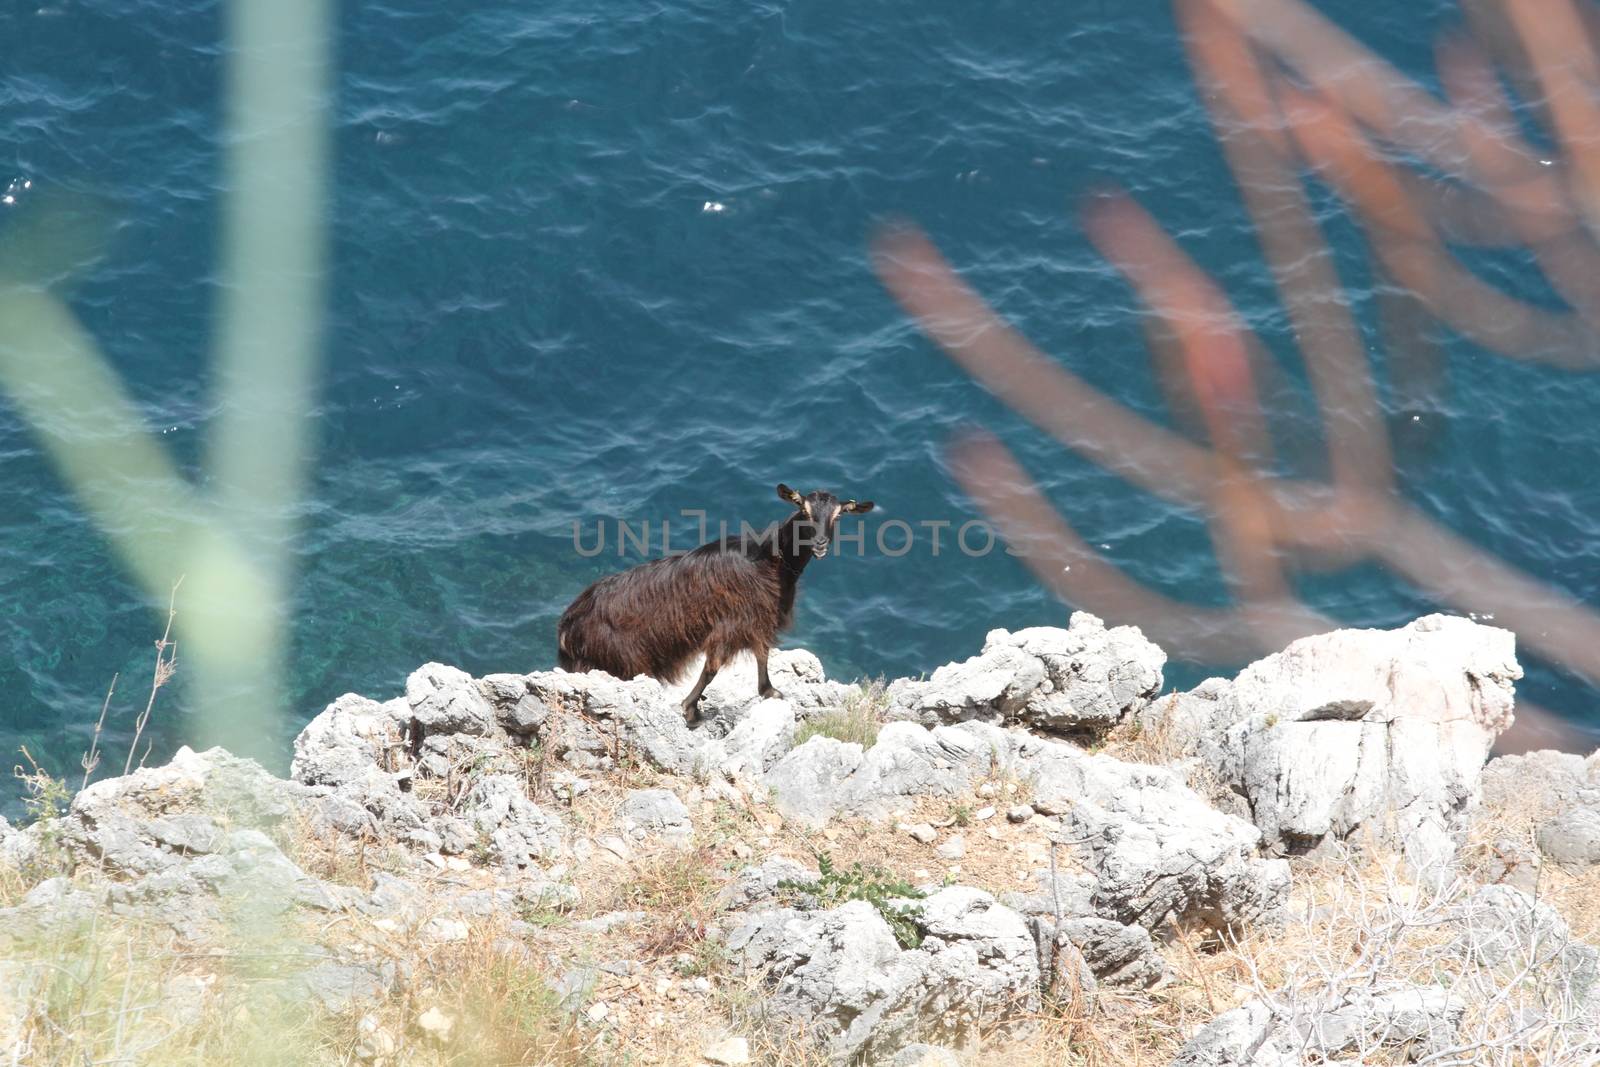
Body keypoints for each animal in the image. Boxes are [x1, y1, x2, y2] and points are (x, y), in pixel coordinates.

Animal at [553, 486, 876, 723]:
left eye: (838, 516)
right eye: (803, 510)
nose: (821, 544)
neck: (770, 561)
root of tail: (568, 627)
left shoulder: (757, 619)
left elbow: (761, 653)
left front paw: (769, 691)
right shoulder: (734, 622)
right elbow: (714, 667)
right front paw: (691, 710)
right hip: (620, 662)